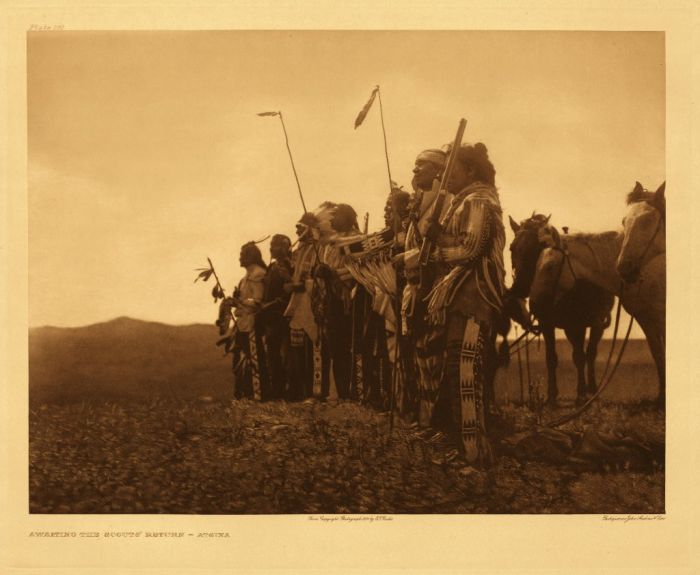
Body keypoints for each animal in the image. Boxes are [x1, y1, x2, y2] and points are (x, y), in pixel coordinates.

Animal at [504, 214, 612, 408]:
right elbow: (551, 358)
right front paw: (551, 397)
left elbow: (579, 357)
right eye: (512, 247)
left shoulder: (576, 324)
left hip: (596, 323)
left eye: (539, 246)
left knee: (590, 353)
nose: (519, 288)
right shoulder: (547, 324)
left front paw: (581, 396)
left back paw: (592, 391)